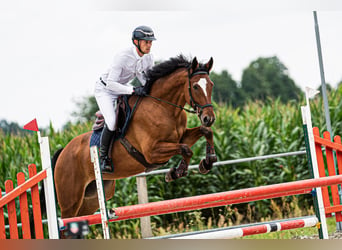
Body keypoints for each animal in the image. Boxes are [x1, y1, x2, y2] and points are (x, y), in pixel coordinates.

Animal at [54, 55, 216, 219]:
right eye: (195, 87)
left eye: (211, 85)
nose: (209, 118)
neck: (163, 107)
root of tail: (63, 152)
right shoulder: (152, 152)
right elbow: (186, 149)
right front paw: (177, 172)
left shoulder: (180, 138)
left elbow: (205, 132)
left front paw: (208, 161)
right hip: (71, 202)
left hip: (92, 198)